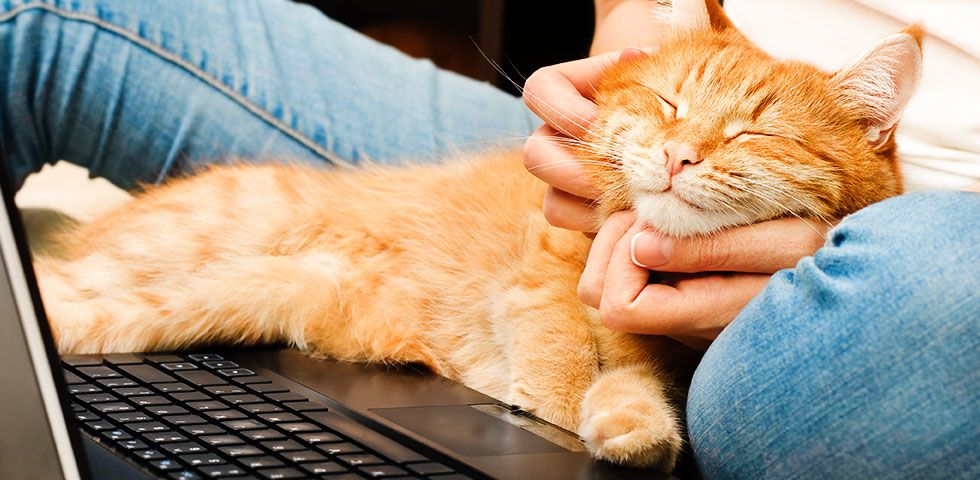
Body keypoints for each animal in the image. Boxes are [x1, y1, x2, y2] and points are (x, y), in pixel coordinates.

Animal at [36, 0, 928, 470]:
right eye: (671, 103)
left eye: (756, 133)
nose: (680, 155)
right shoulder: (542, 278)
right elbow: (557, 369)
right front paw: (559, 404)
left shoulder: (652, 355)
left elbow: (626, 391)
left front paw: (627, 430)